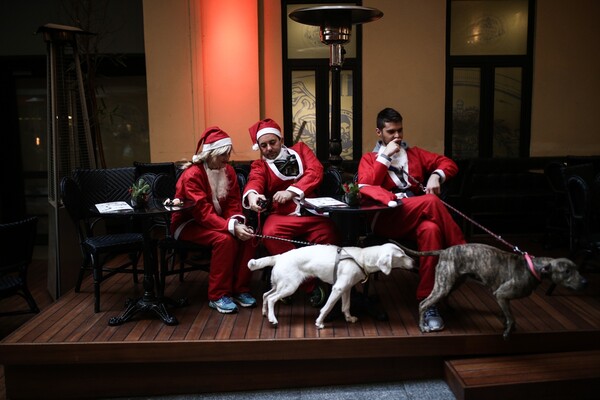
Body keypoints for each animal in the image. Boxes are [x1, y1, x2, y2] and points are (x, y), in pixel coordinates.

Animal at [246, 242, 414, 330]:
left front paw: (349, 318)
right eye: (402, 255)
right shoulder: (337, 289)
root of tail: (280, 256)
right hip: (289, 287)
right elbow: (326, 308)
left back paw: (265, 313)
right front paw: (319, 322)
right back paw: (273, 319)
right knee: (272, 299)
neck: (362, 258)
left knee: (265, 295)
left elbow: (346, 306)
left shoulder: (346, 289)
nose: (414, 262)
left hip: (280, 285)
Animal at [392, 242, 588, 340]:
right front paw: (508, 332)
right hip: (444, 285)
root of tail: (444, 251)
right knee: (424, 303)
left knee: (444, 297)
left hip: (453, 281)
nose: (585, 282)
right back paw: (422, 325)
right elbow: (511, 317)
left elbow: (507, 315)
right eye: (566, 271)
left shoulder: (504, 300)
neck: (534, 267)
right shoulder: (501, 295)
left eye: (577, 269)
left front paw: (508, 325)